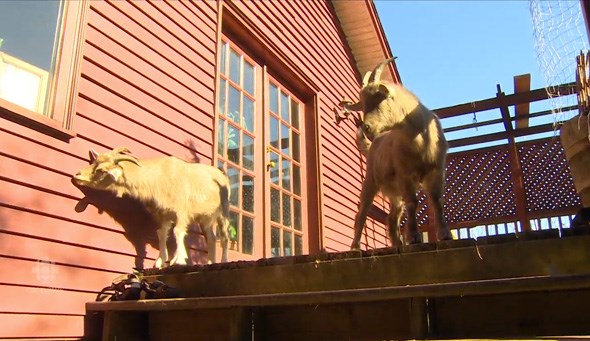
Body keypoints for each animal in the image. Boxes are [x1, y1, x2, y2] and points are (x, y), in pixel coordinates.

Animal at [72, 147, 231, 266]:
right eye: (94, 162)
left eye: (101, 170)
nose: (76, 176)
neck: (159, 177)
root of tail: (222, 176)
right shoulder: (163, 213)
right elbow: (161, 233)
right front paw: (160, 261)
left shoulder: (181, 211)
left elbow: (178, 232)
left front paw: (179, 260)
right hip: (206, 219)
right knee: (211, 237)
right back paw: (210, 262)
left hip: (223, 212)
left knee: (224, 237)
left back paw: (223, 260)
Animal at [338, 57, 454, 250]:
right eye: (363, 105)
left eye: (380, 99)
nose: (366, 127)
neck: (419, 139)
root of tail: (373, 144)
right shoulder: (405, 174)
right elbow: (413, 202)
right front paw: (413, 237)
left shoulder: (436, 170)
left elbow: (437, 200)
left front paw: (445, 234)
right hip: (370, 180)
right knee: (362, 211)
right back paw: (355, 246)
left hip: (394, 192)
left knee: (392, 217)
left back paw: (397, 243)